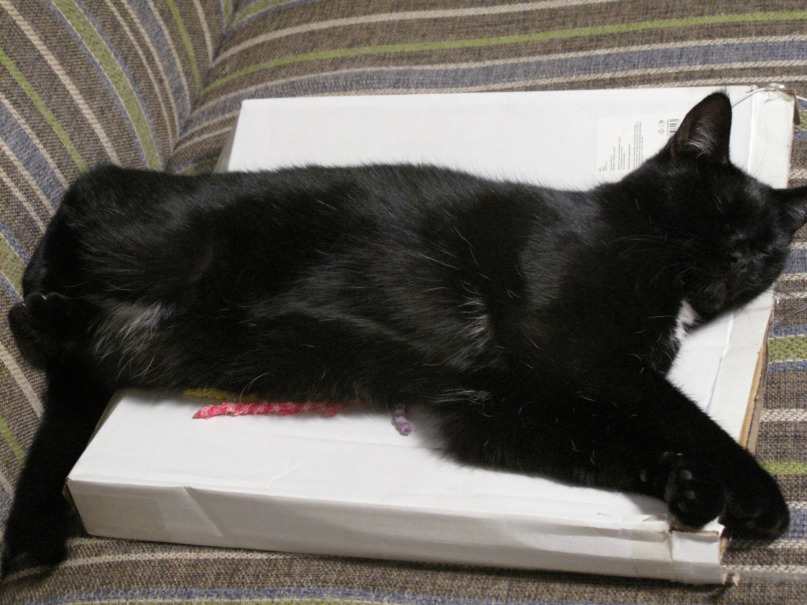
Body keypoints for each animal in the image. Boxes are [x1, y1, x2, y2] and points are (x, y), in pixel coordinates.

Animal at [3, 92, 803, 577]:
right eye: (719, 209)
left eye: (771, 249)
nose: (743, 258)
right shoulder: (577, 352)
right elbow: (678, 414)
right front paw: (760, 497)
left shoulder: (495, 411)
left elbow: (602, 445)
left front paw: (686, 487)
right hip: (157, 238)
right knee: (83, 201)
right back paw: (41, 287)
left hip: (162, 343)